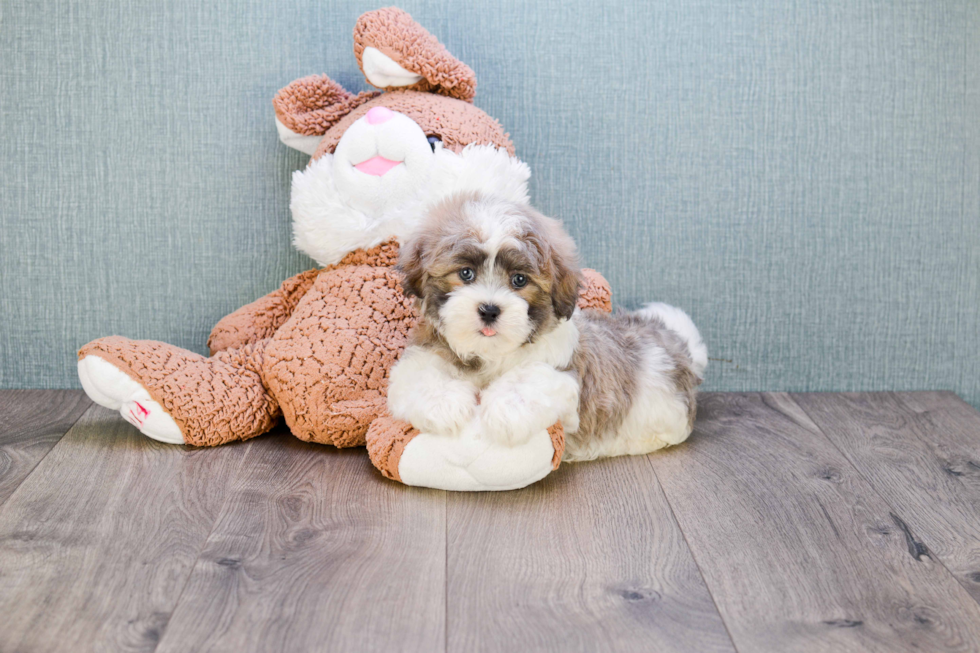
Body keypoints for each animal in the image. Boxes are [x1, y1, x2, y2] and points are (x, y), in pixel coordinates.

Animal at [386, 191, 708, 460]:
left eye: (519, 280)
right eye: (465, 273)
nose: (489, 310)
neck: (490, 354)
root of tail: (679, 346)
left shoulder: (562, 373)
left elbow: (528, 379)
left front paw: (504, 411)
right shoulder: (426, 352)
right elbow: (420, 373)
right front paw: (443, 404)